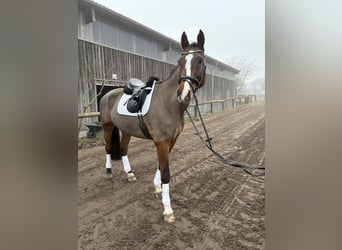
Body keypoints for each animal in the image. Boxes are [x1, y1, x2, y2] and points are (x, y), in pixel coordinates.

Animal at [99, 29, 206, 223]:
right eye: (180, 62)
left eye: (200, 60)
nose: (183, 94)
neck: (169, 103)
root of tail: (108, 94)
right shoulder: (161, 141)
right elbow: (166, 172)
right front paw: (168, 210)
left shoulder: (171, 140)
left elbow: (160, 166)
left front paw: (157, 187)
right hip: (107, 127)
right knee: (108, 147)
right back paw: (109, 173)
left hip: (126, 130)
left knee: (124, 150)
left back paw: (130, 174)